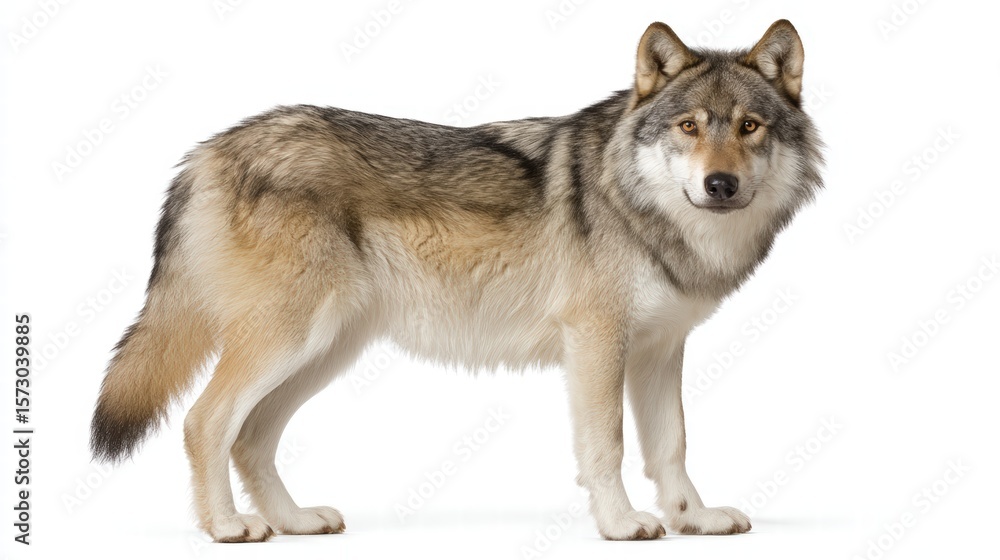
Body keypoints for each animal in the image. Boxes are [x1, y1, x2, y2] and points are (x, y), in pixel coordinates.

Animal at [90, 19, 822, 542]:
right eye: (689, 126)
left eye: (749, 127)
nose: (719, 184)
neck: (645, 210)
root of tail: (207, 150)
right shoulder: (595, 343)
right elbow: (607, 444)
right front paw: (621, 525)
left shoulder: (659, 350)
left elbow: (671, 446)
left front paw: (693, 519)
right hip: (290, 340)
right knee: (205, 421)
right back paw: (226, 527)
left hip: (323, 351)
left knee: (250, 437)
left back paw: (295, 522)